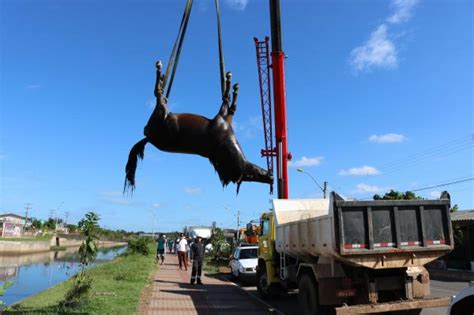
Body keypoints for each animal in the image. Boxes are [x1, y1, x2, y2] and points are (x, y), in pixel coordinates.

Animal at [125, 61, 274, 194]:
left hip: (161, 113)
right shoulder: (223, 117)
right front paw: (232, 83)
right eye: (254, 173)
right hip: (161, 112)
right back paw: (160, 73)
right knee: (159, 94)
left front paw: (230, 83)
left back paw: (160, 73)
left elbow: (228, 102)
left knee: (158, 94)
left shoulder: (223, 117)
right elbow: (229, 103)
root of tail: (147, 136)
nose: (271, 176)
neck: (223, 141)